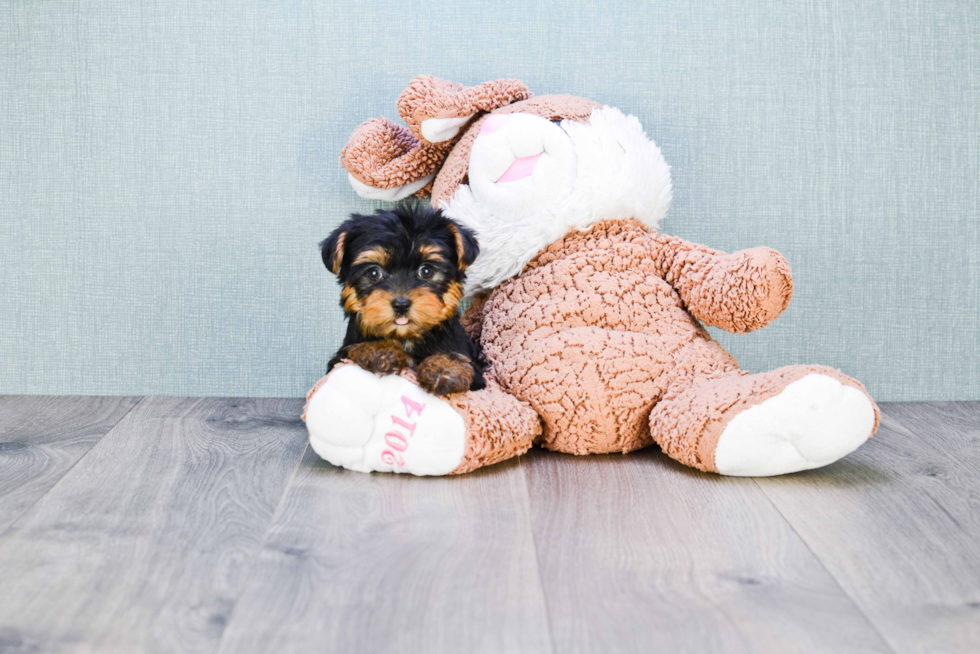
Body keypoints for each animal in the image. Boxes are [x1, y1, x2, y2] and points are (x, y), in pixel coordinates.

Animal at [322, 205, 486, 398]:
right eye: (373, 273)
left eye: (426, 271)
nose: (401, 304)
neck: (406, 336)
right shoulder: (341, 356)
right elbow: (352, 349)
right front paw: (380, 349)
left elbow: (457, 356)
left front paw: (444, 368)